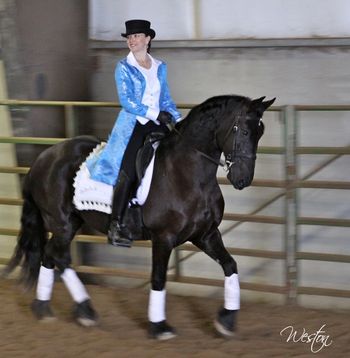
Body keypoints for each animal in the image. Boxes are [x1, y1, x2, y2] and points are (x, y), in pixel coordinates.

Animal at [4, 93, 274, 340]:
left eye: (260, 132)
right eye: (242, 130)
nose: (242, 179)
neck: (188, 174)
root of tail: (43, 158)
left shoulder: (205, 235)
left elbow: (230, 265)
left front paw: (226, 320)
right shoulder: (163, 238)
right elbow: (158, 278)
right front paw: (159, 326)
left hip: (71, 223)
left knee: (51, 255)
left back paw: (50, 308)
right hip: (63, 223)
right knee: (58, 255)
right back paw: (82, 310)